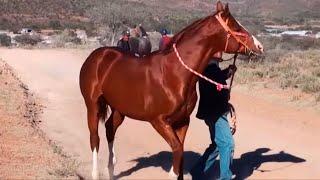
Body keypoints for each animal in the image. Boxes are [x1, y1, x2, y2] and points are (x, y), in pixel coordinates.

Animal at [79, 1, 262, 179]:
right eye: (236, 27)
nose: (259, 47)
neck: (173, 74)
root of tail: (97, 56)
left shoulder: (182, 121)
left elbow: (180, 155)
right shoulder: (159, 121)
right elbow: (177, 151)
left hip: (119, 109)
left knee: (110, 129)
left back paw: (111, 169)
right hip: (93, 106)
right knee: (95, 138)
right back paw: (95, 173)